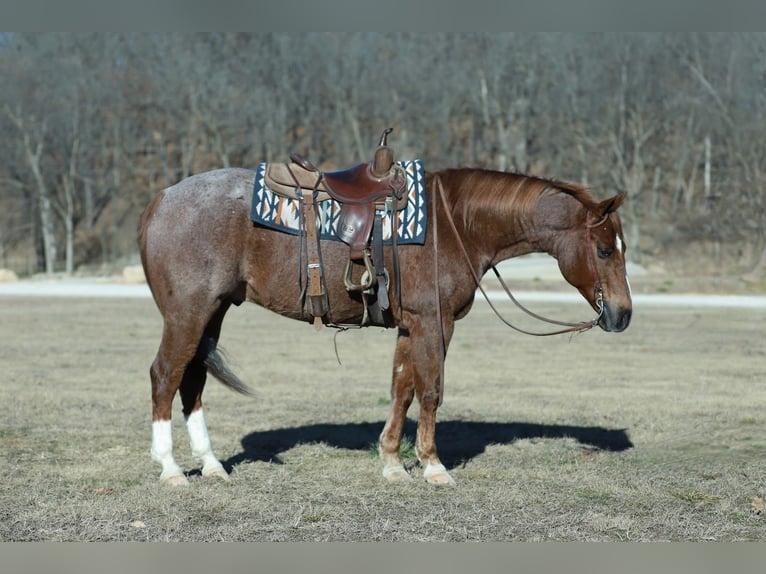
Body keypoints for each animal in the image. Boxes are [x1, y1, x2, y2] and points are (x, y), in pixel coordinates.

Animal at [138, 166, 632, 486]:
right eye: (605, 249)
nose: (623, 314)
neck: (455, 223)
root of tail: (163, 198)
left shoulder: (410, 326)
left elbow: (402, 388)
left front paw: (393, 462)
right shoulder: (435, 322)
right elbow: (431, 390)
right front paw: (433, 466)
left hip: (213, 312)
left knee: (192, 381)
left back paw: (211, 464)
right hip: (187, 313)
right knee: (165, 376)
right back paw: (171, 469)